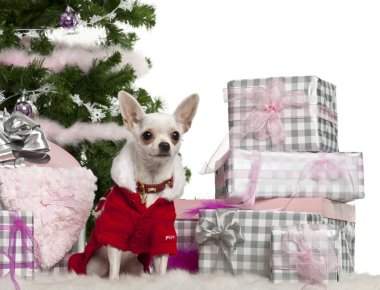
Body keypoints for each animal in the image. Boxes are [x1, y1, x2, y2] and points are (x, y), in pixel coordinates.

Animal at [67, 90, 200, 278]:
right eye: (147, 135)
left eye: (175, 135)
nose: (165, 145)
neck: (150, 185)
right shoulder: (115, 233)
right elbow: (114, 271)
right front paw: (114, 281)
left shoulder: (163, 236)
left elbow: (161, 268)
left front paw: (162, 280)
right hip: (95, 266)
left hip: (137, 268)